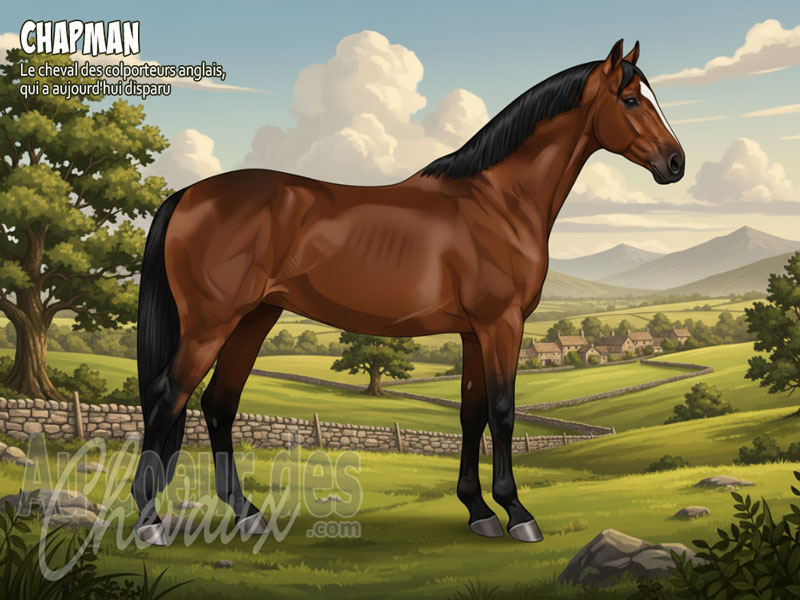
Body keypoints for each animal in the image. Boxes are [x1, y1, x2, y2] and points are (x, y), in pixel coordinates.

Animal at [132, 39, 684, 545]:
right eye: (630, 100)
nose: (676, 163)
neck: (498, 201)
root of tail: (187, 195)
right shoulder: (501, 323)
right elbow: (503, 413)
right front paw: (517, 514)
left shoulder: (473, 333)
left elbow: (471, 414)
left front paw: (478, 511)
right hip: (211, 324)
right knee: (167, 398)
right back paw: (150, 522)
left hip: (254, 318)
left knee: (219, 405)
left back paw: (247, 514)